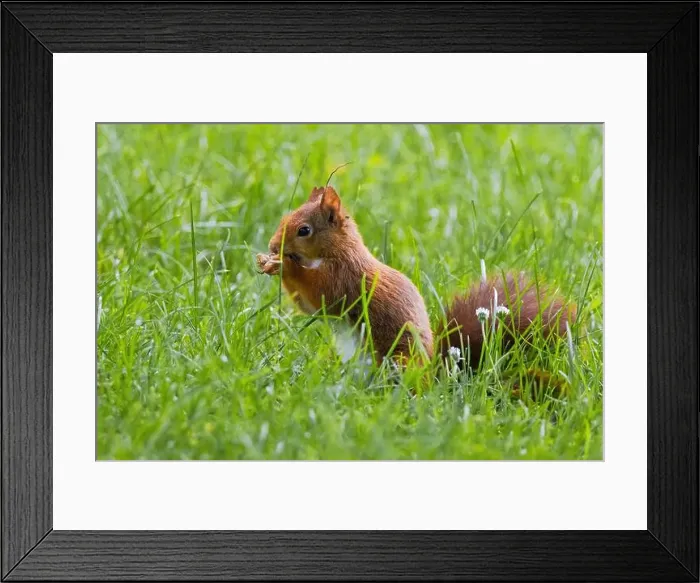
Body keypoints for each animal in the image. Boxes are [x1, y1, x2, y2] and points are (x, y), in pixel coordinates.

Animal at [256, 185, 576, 385]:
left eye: (304, 230)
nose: (273, 245)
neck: (337, 251)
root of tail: (434, 378)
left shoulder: (344, 278)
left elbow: (320, 295)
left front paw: (283, 265)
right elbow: (309, 307)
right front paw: (268, 262)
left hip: (400, 359)